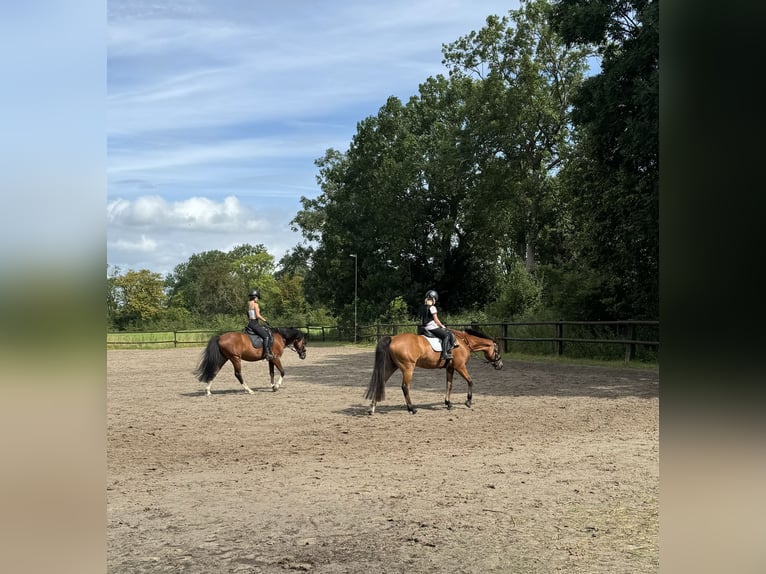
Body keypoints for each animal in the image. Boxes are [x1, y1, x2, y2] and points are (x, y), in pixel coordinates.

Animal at [366, 330, 504, 416]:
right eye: (497, 350)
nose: (500, 365)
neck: (463, 343)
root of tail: (393, 338)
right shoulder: (460, 366)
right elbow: (470, 381)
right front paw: (468, 402)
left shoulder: (450, 368)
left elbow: (449, 385)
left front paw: (448, 404)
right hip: (408, 368)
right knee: (405, 387)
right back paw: (412, 409)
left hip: (391, 366)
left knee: (381, 382)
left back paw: (372, 408)